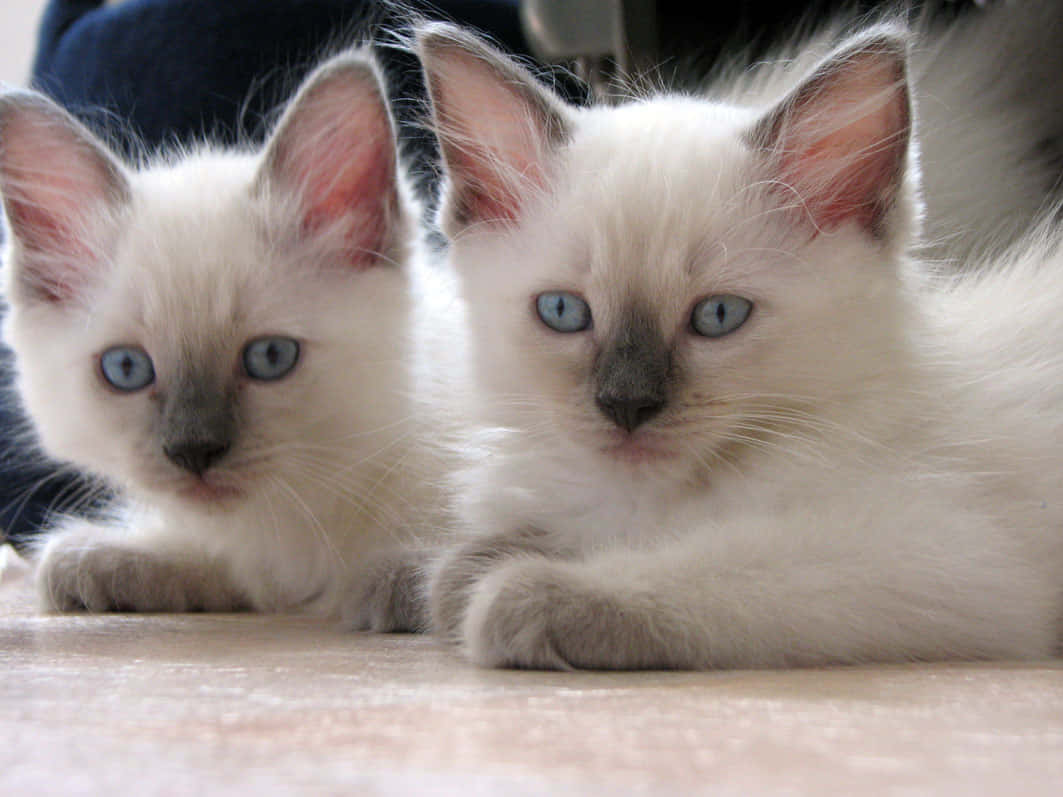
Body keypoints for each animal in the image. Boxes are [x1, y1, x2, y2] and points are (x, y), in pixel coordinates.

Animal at [0, 49, 457, 620]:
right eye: (126, 369)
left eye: (270, 357)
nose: (194, 451)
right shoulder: (255, 567)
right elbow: (216, 566)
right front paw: (100, 558)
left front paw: (404, 580)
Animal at [410, 21, 1063, 671]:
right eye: (563, 312)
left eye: (718, 316)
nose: (627, 404)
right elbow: (460, 569)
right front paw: (471, 570)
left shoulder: (932, 551)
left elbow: (697, 569)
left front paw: (517, 593)